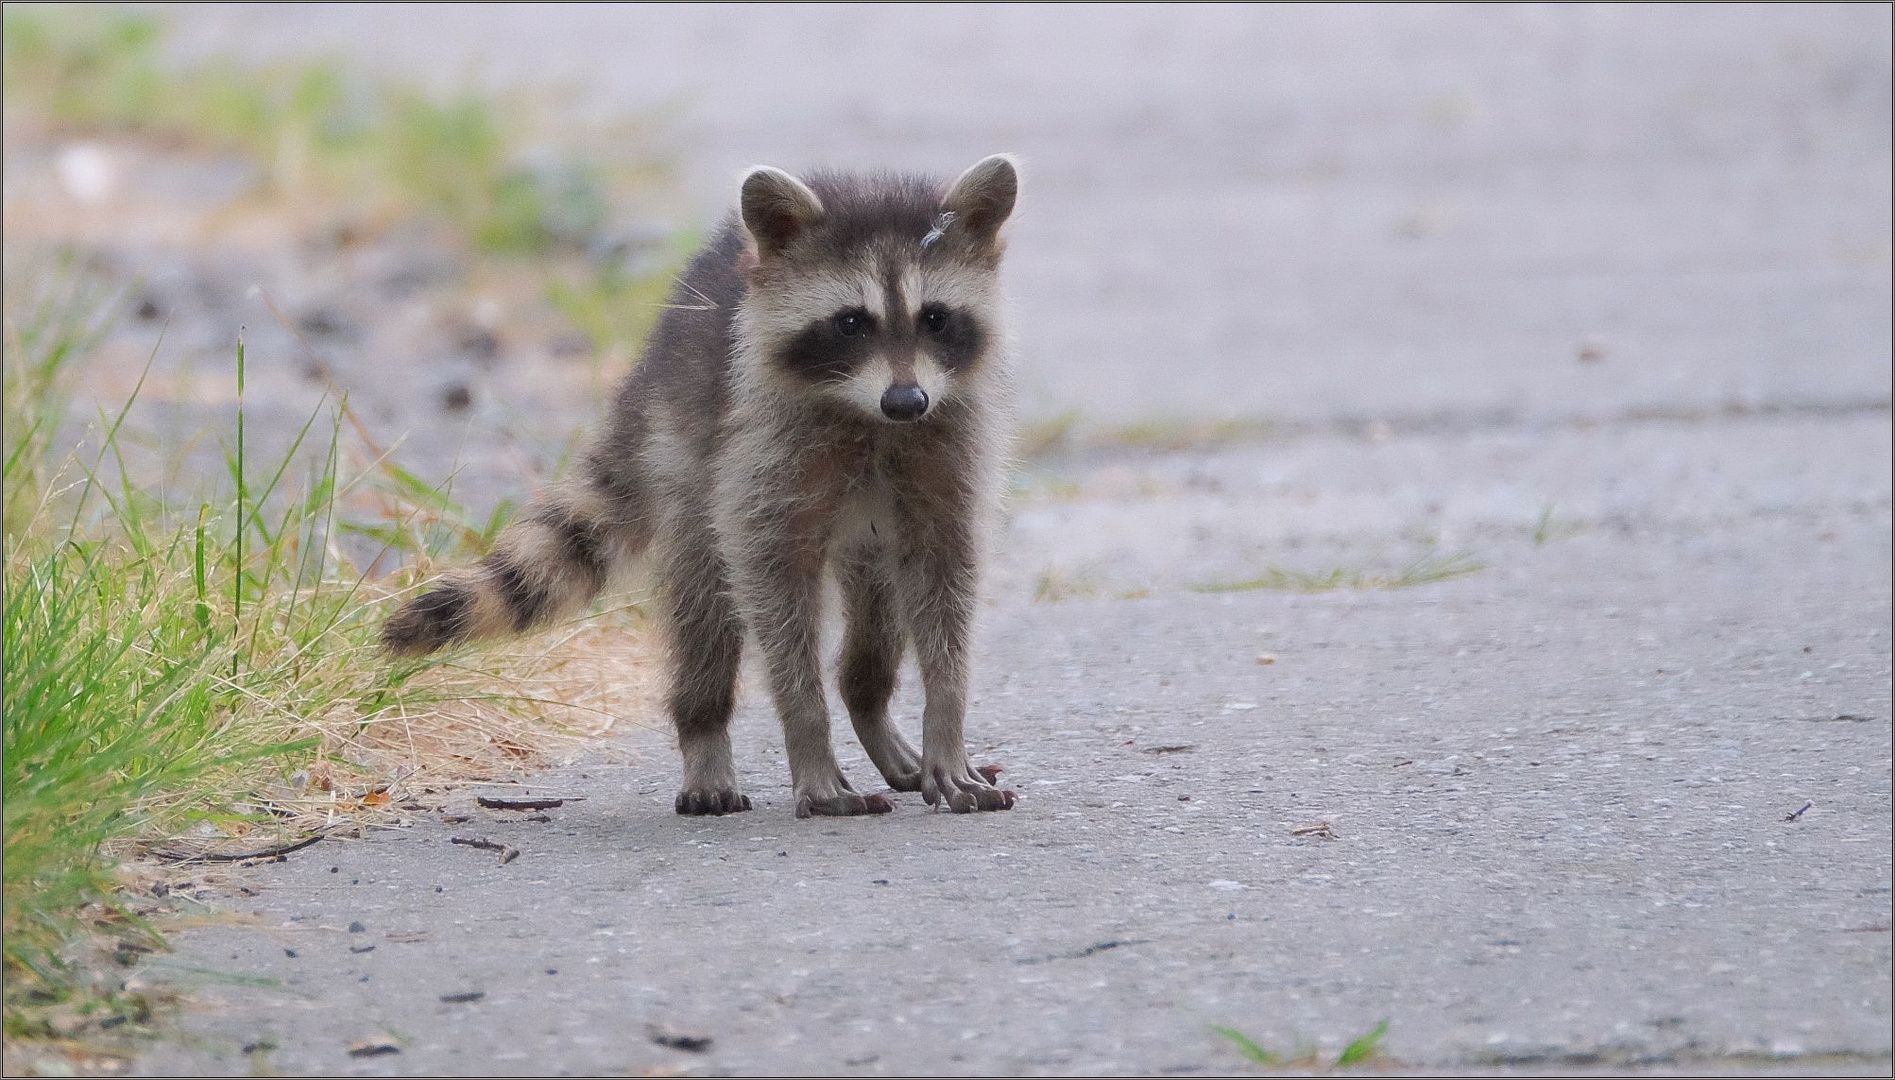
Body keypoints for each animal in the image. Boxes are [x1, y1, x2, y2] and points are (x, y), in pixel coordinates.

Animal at [382, 153, 1023, 814]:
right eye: (850, 322)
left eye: (935, 318)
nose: (906, 401)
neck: (870, 417)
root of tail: (649, 367)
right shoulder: (759, 451)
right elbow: (771, 588)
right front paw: (809, 741)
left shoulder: (949, 447)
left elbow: (945, 582)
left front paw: (945, 729)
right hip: (687, 464)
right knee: (705, 607)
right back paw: (705, 730)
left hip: (864, 536)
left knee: (875, 619)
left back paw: (870, 705)